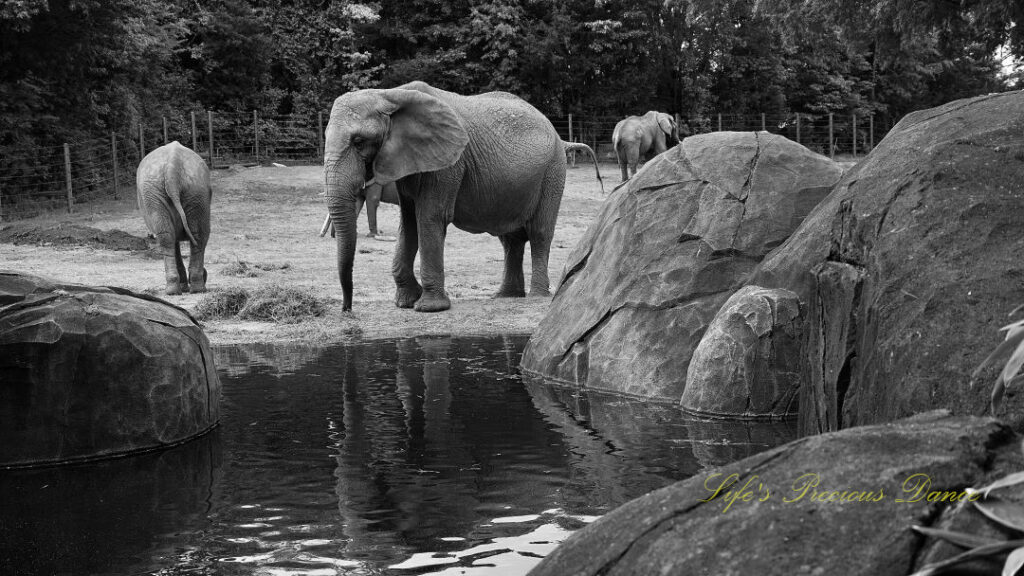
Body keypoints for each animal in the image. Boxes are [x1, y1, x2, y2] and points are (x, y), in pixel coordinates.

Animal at [136, 138, 211, 291]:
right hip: (185, 190)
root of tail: (173, 166)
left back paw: (183, 289)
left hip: (189, 189)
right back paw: (189, 289)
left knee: (174, 236)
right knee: (190, 236)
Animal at [325, 79, 598, 309]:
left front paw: (429, 308)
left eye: (359, 142)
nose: (347, 309)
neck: (390, 95)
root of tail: (561, 139)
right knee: (511, 239)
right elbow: (409, 221)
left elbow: (430, 217)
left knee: (539, 232)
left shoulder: (449, 164)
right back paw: (505, 296)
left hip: (553, 171)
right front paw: (405, 303)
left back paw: (535, 297)